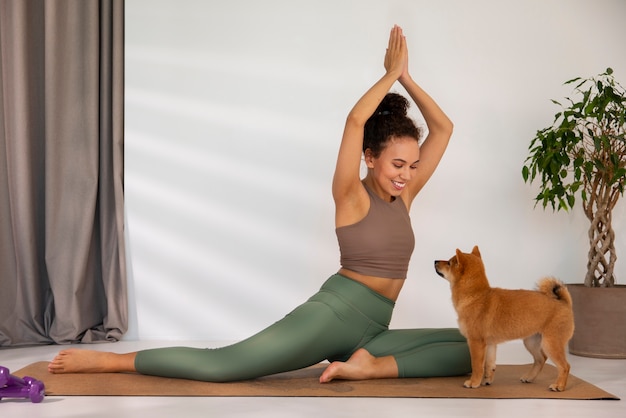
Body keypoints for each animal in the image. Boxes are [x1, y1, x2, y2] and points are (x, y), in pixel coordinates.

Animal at [432, 245, 572, 392]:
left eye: (449, 262)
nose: (435, 261)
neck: (476, 295)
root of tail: (564, 303)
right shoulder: (490, 344)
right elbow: (489, 365)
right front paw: (486, 380)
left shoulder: (476, 342)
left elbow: (477, 366)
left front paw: (474, 382)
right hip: (531, 342)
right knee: (541, 359)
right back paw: (529, 377)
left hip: (550, 344)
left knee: (565, 366)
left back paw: (559, 386)